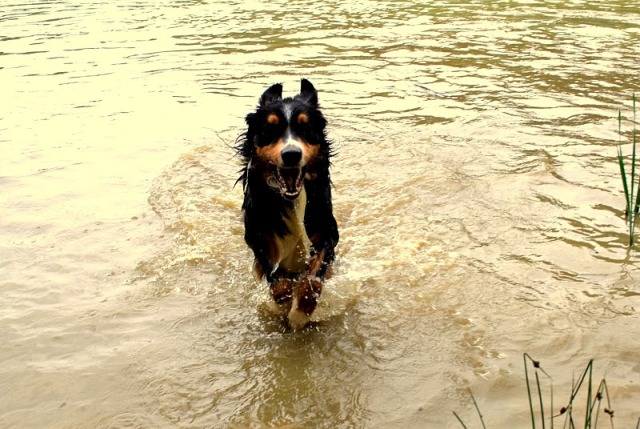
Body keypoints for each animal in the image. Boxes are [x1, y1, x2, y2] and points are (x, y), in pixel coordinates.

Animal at [236, 79, 339, 330]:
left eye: (305, 128)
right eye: (269, 129)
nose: (291, 154)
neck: (291, 200)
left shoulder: (326, 232)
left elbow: (313, 280)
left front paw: (300, 313)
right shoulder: (258, 236)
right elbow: (278, 283)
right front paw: (284, 304)